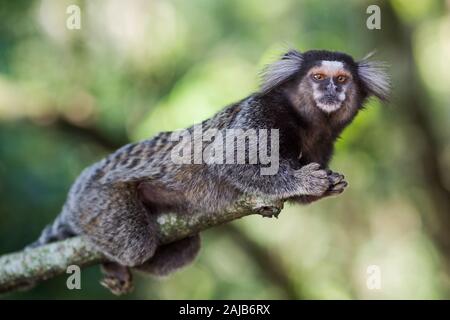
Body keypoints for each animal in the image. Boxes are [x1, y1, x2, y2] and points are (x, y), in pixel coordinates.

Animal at [28, 49, 388, 292]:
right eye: (318, 78)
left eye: (341, 79)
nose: (331, 91)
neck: (305, 122)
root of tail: (81, 186)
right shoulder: (261, 114)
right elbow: (227, 159)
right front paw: (304, 181)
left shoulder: (323, 143)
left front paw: (328, 185)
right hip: (98, 200)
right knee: (136, 244)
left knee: (185, 248)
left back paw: (113, 266)